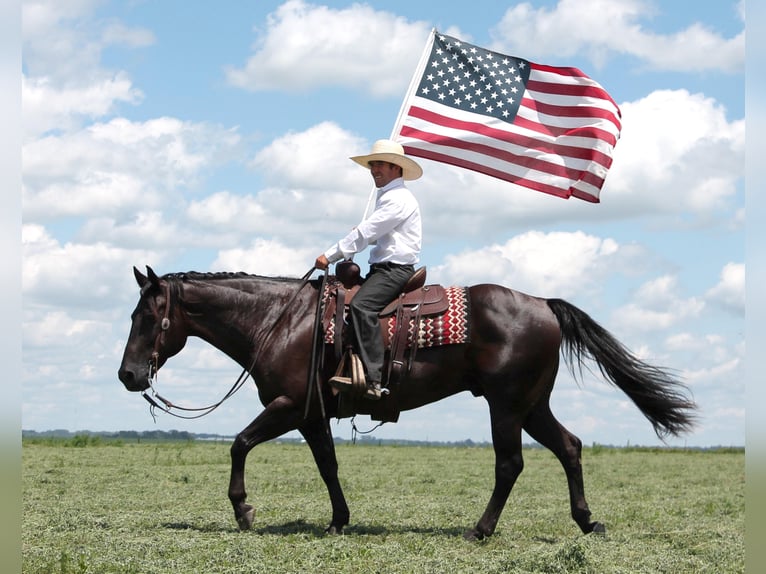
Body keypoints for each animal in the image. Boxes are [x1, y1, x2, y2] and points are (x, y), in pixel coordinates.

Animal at [118, 268, 696, 544]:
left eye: (147, 317)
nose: (128, 375)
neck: (281, 321)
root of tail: (542, 304)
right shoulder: (311, 415)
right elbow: (327, 466)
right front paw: (339, 521)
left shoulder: (287, 406)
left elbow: (238, 444)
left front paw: (243, 510)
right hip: (533, 405)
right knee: (570, 447)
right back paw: (586, 522)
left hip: (507, 405)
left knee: (510, 463)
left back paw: (480, 530)